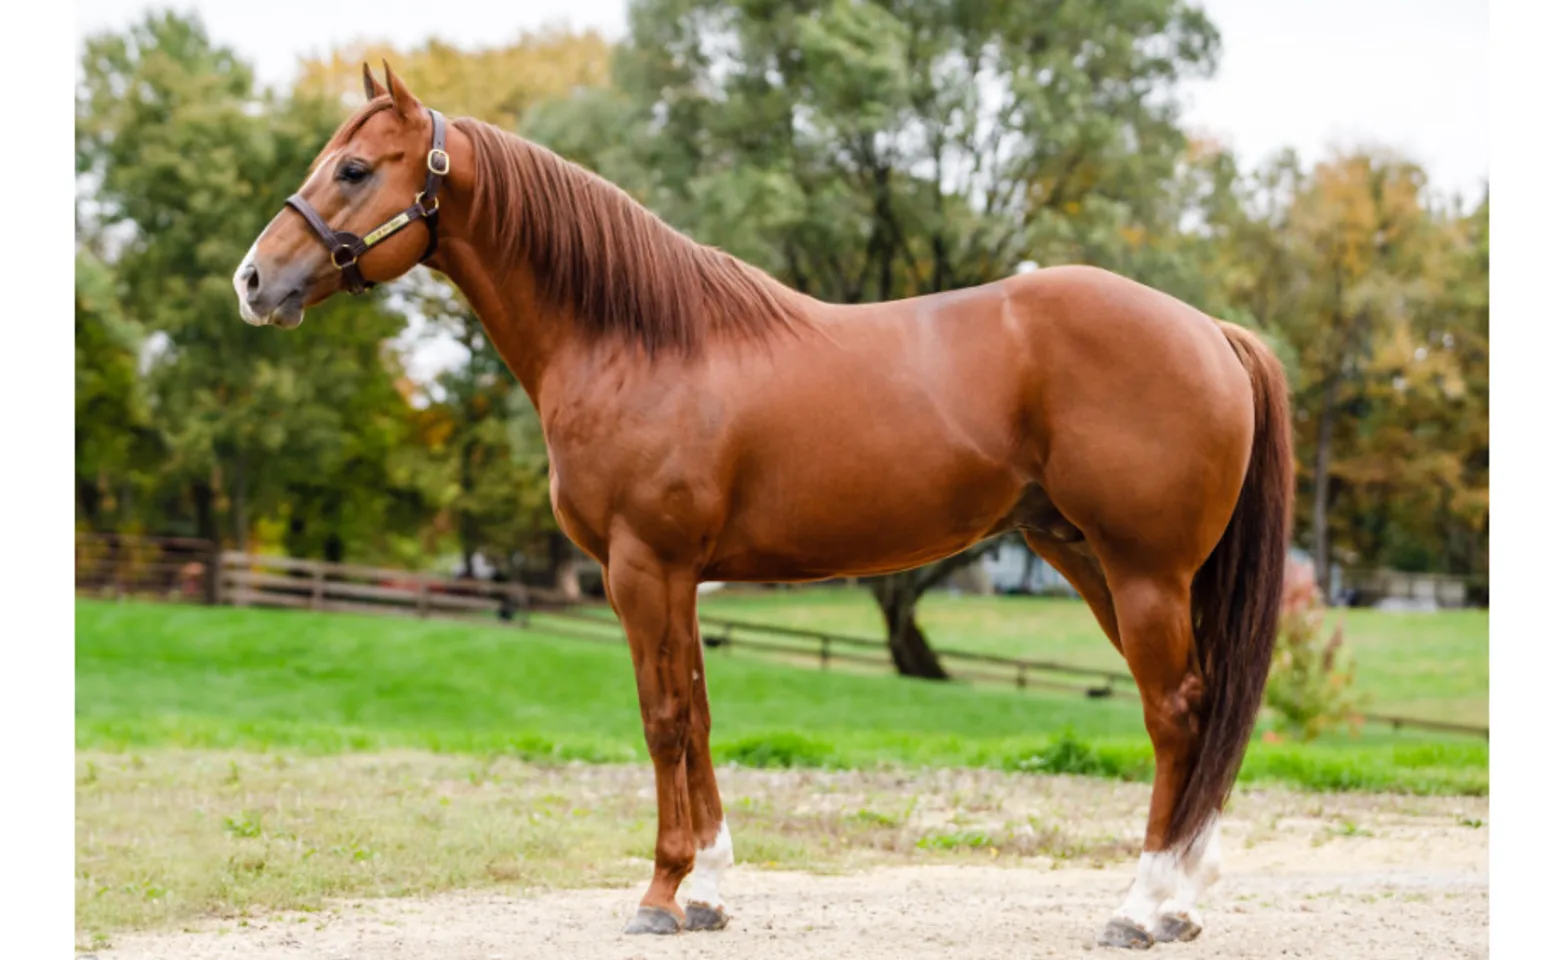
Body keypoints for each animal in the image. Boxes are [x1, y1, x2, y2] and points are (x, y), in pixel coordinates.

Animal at [234, 64, 1294, 950]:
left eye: (355, 168)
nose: (252, 280)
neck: (641, 343)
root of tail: (1211, 329)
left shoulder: (642, 567)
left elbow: (663, 717)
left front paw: (659, 893)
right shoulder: (682, 578)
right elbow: (700, 712)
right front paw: (707, 889)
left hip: (1143, 570)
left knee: (1175, 715)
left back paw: (1142, 907)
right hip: (1089, 558)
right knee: (1200, 713)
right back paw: (1182, 900)